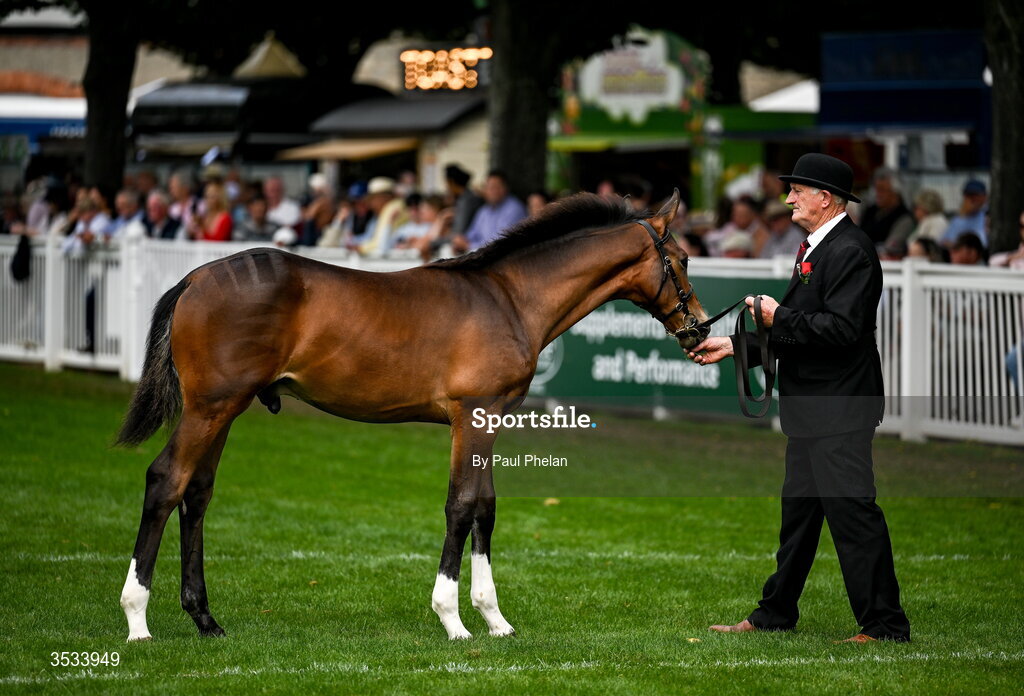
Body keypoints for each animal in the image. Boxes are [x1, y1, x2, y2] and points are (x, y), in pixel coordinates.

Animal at [114, 189, 709, 642]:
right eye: (680, 260)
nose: (700, 329)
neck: (509, 298)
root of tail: (194, 279)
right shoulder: (472, 417)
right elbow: (461, 506)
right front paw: (453, 620)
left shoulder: (489, 421)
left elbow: (485, 508)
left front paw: (495, 619)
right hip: (209, 409)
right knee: (166, 481)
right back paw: (138, 619)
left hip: (223, 412)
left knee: (196, 494)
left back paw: (205, 618)